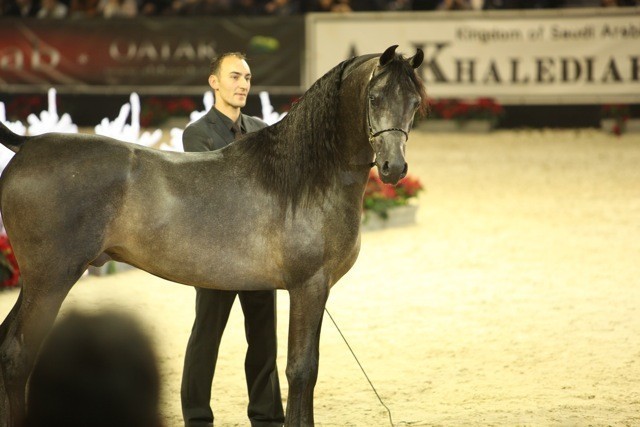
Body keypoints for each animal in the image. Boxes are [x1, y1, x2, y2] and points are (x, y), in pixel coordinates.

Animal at [0, 45, 427, 427]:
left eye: (415, 103)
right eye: (373, 97)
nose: (393, 168)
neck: (306, 177)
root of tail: (29, 144)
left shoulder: (314, 289)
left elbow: (308, 368)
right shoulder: (309, 285)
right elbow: (301, 369)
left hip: (37, 282)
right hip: (51, 279)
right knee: (17, 356)